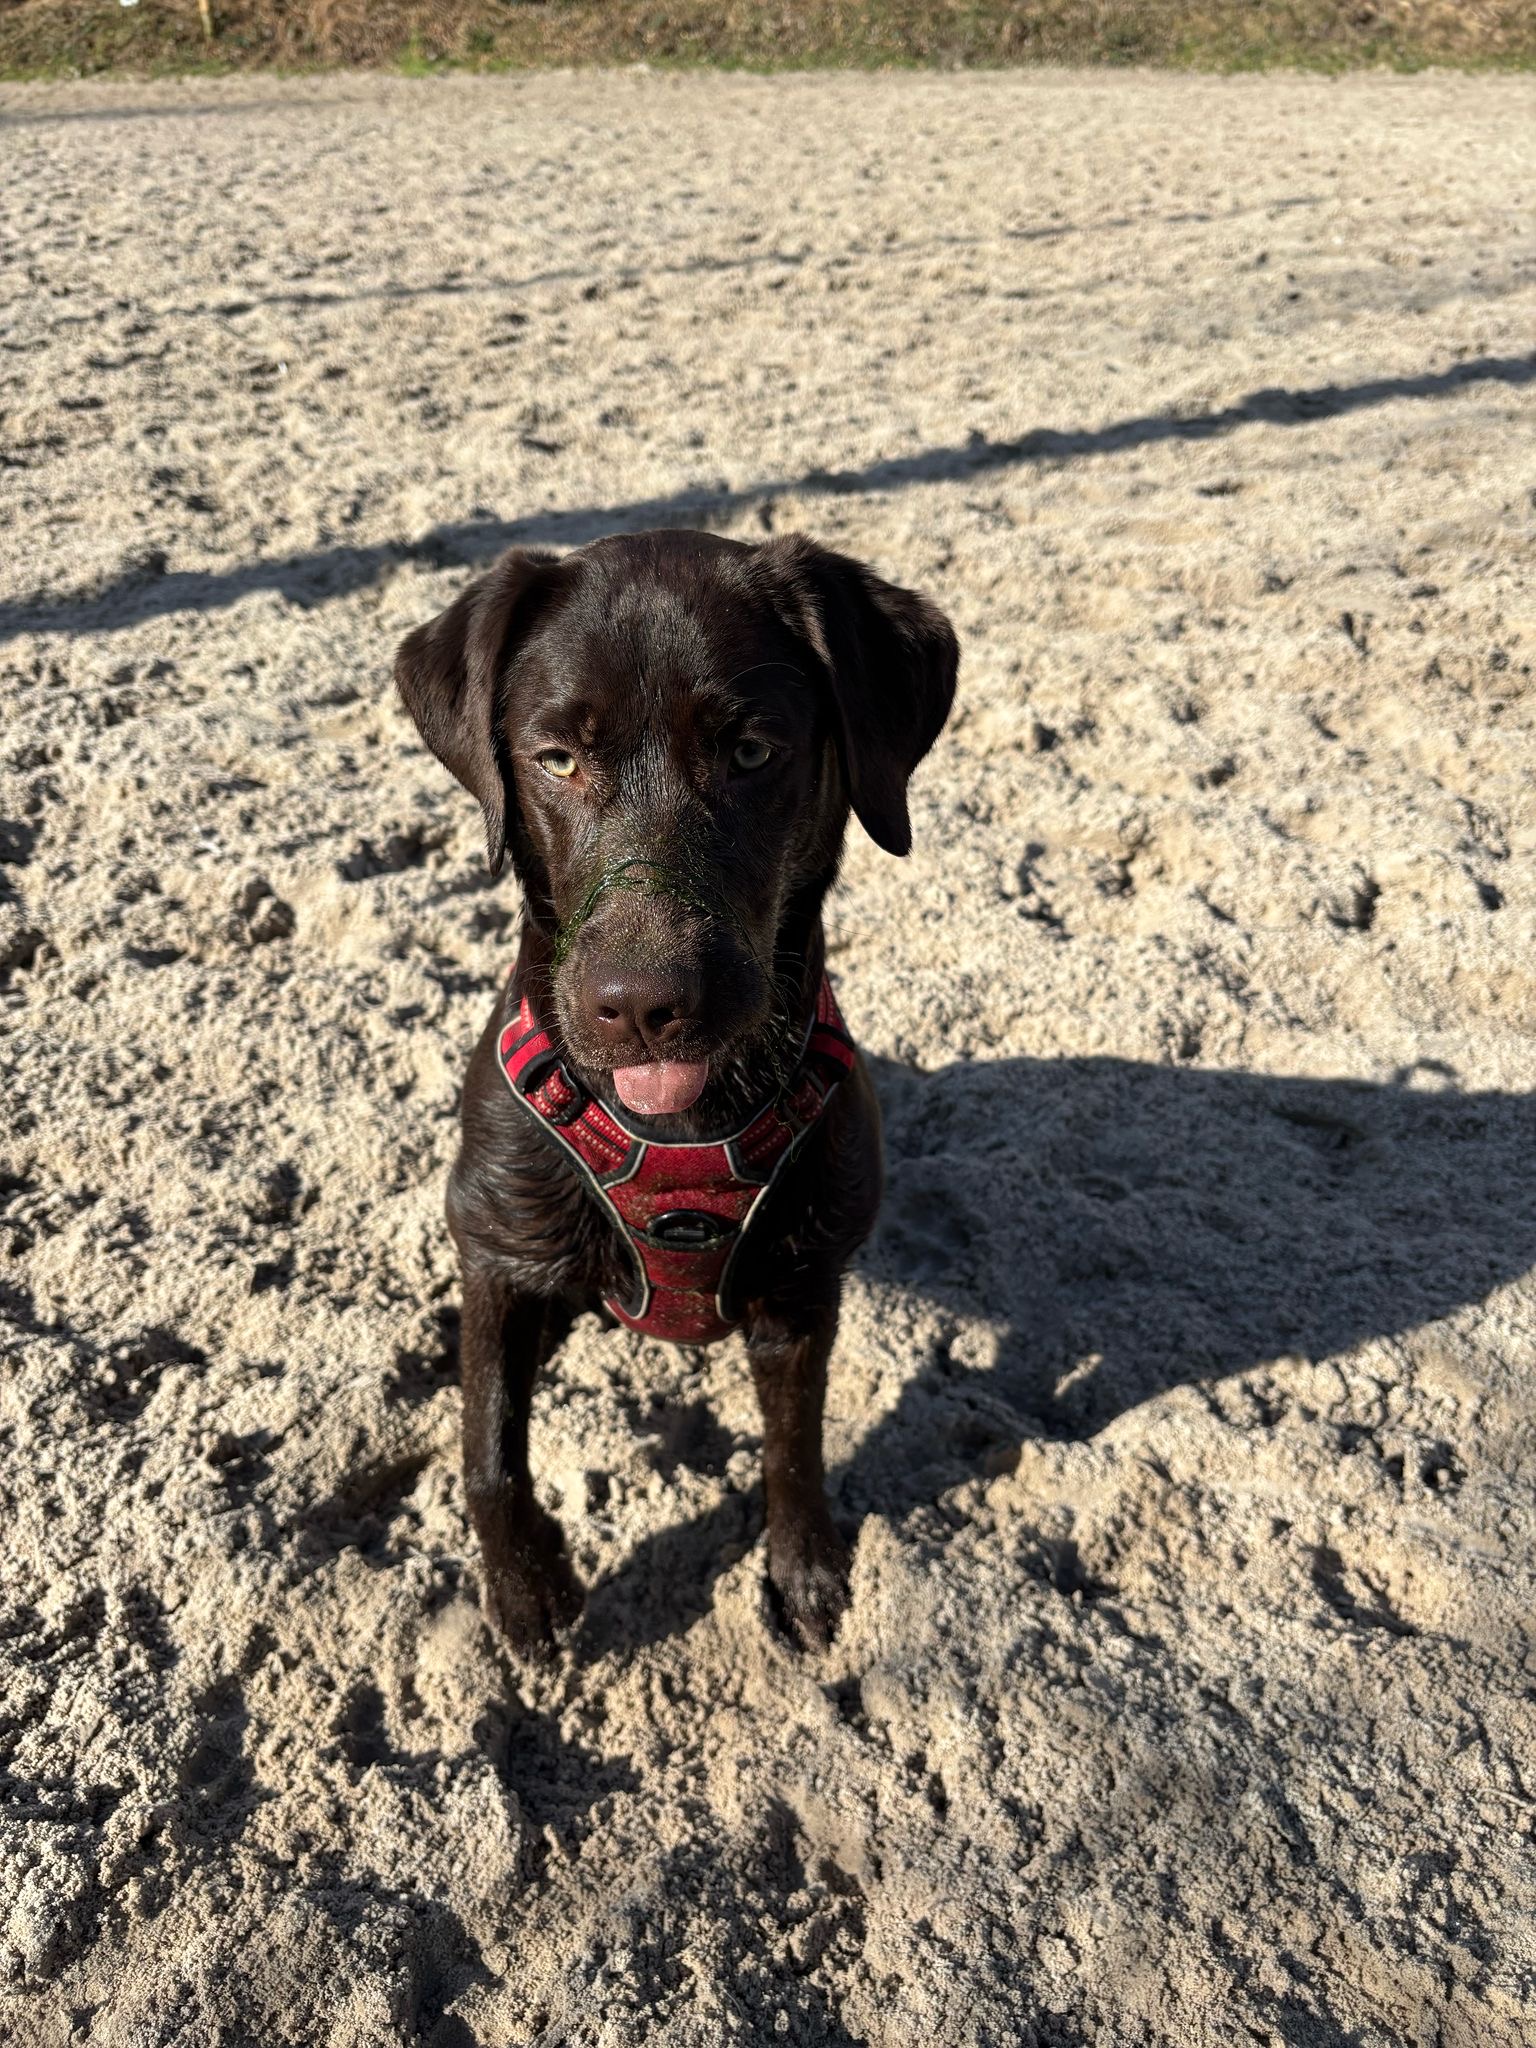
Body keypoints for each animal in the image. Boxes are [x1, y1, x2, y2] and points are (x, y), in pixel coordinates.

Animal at [394, 529, 957, 1653]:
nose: (644, 1004)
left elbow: (794, 1444)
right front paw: (525, 1587)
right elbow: (488, 1445)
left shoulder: (801, 1289)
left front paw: (804, 1566)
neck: (678, 1125)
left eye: (751, 752)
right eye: (557, 758)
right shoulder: (502, 1252)